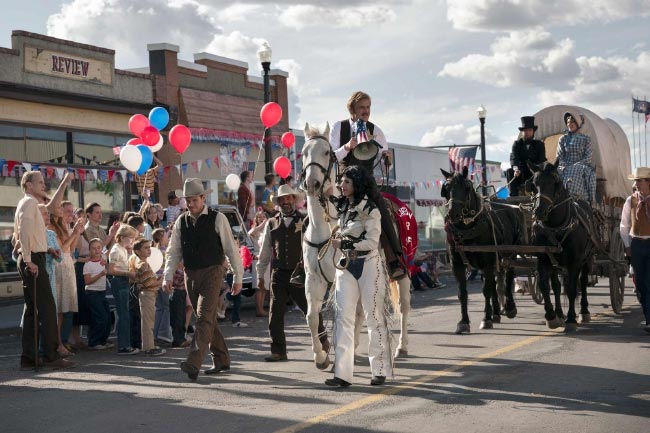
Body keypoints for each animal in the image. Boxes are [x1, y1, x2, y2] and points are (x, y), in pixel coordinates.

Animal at [300, 120, 410, 368]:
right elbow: (311, 316)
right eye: (303, 153)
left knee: (403, 306)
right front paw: (320, 357)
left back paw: (402, 347)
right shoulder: (314, 280)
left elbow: (355, 313)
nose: (312, 183)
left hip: (405, 270)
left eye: (326, 152)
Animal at [528, 160, 592, 332]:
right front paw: (551, 316)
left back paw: (584, 311)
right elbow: (545, 286)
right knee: (556, 286)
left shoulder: (575, 261)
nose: (539, 212)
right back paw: (559, 314)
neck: (555, 227)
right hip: (555, 263)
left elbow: (571, 289)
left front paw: (571, 319)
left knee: (583, 282)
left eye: (554, 182)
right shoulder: (543, 258)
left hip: (589, 258)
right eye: (534, 183)